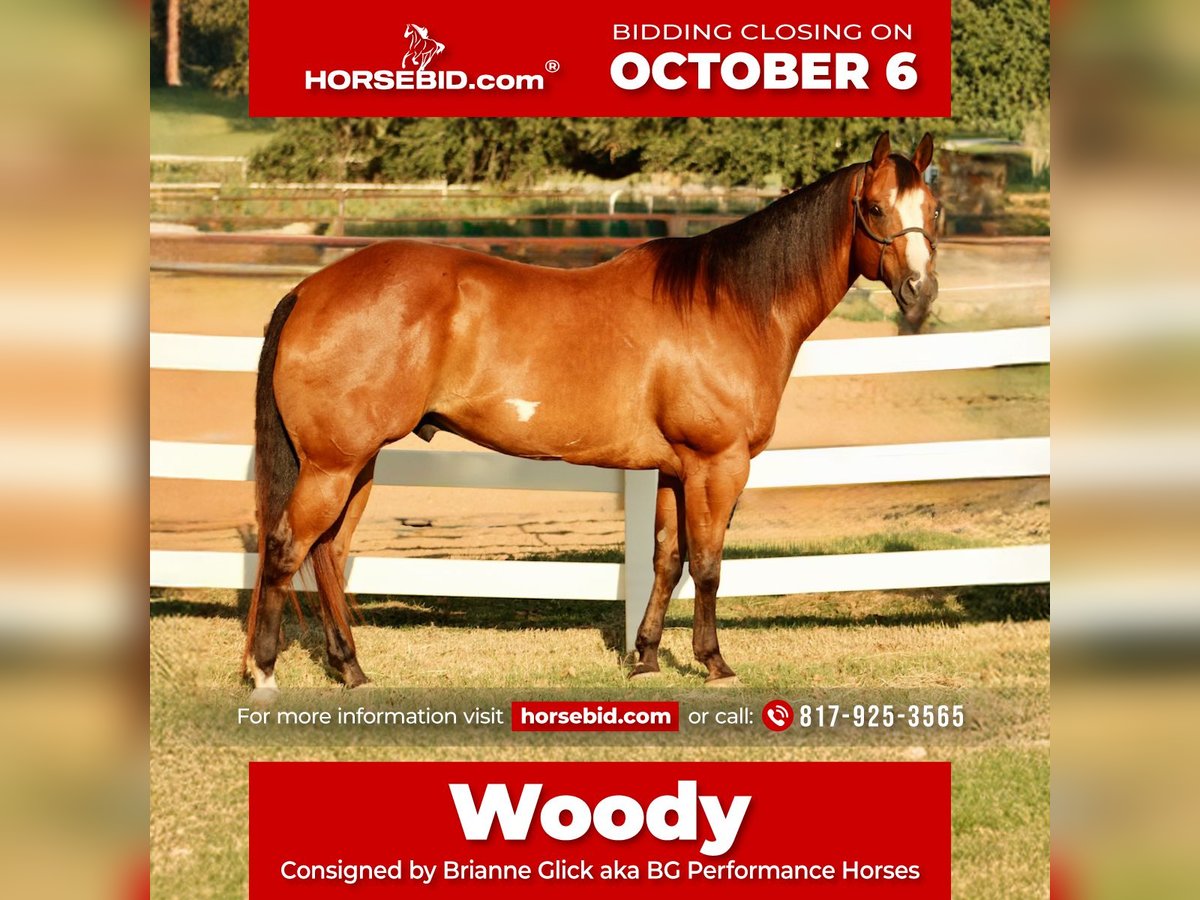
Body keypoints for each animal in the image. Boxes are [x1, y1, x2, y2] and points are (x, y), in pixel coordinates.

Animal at [242, 132, 940, 696]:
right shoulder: (718, 465)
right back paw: (266, 671)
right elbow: (709, 564)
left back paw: (351, 669)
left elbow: (668, 559)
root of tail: (309, 288)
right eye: (875, 208)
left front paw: (646, 658)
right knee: (286, 547)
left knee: (327, 553)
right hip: (333, 465)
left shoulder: (675, 469)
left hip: (356, 464)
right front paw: (714, 663)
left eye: (932, 208)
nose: (921, 291)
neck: (729, 304)